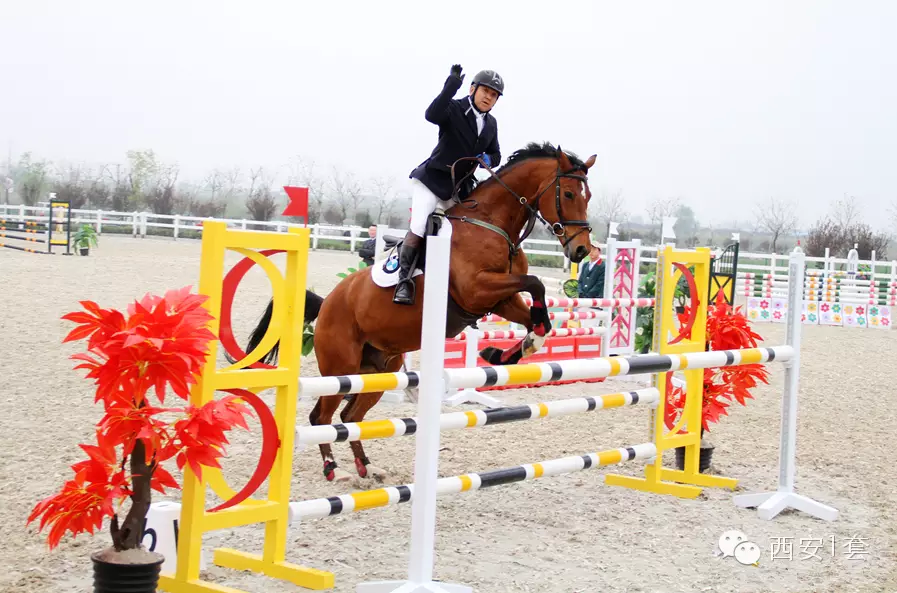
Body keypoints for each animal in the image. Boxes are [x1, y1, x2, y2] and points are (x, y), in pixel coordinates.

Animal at [246, 142, 596, 482]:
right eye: (568, 194)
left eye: (588, 196)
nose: (581, 250)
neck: (491, 222)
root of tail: (328, 302)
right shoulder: (477, 289)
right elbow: (535, 283)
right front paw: (511, 349)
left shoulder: (500, 300)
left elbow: (537, 315)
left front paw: (505, 353)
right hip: (339, 369)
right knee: (322, 415)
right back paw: (334, 468)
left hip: (379, 371)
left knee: (350, 416)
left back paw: (366, 467)